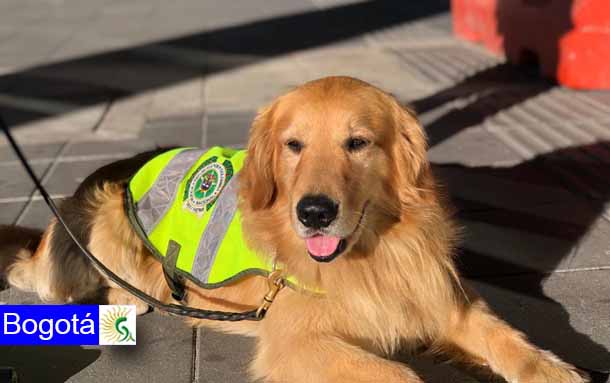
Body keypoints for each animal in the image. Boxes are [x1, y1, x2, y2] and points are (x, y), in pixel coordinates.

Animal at [2, 77, 588, 383]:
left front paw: (555, 371)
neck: (372, 256)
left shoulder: (442, 298)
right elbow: (399, 374)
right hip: (99, 226)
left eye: (358, 142)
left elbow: (510, 340)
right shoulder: (296, 341)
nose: (315, 213)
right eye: (294, 145)